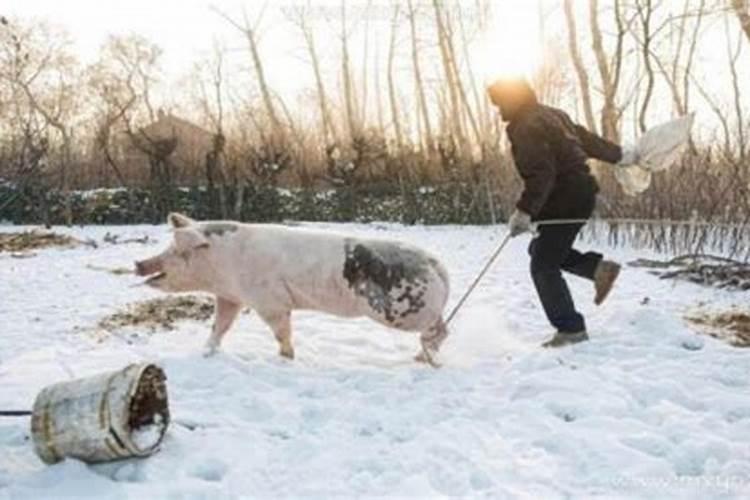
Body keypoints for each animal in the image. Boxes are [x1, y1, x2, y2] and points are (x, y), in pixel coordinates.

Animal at [134, 213, 452, 366]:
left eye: (177, 250)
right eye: (169, 246)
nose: (139, 263)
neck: (223, 265)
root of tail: (436, 263)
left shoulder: (270, 302)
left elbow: (281, 333)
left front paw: (286, 359)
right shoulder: (230, 296)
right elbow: (219, 328)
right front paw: (206, 353)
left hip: (402, 309)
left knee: (440, 330)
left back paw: (424, 358)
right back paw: (422, 357)